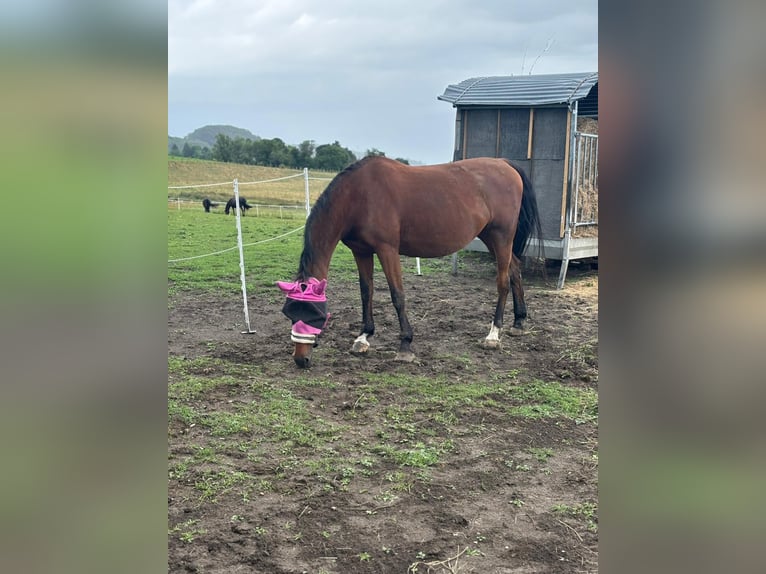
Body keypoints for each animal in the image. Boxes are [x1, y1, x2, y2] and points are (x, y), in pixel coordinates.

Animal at [277, 155, 542, 368]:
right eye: (289, 312)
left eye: (314, 313)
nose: (300, 359)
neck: (359, 195)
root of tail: (504, 164)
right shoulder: (361, 251)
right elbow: (366, 292)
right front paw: (363, 337)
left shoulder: (387, 250)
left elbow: (397, 295)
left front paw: (405, 345)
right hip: (490, 236)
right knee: (515, 270)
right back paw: (519, 322)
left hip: (501, 236)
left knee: (502, 282)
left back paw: (493, 335)